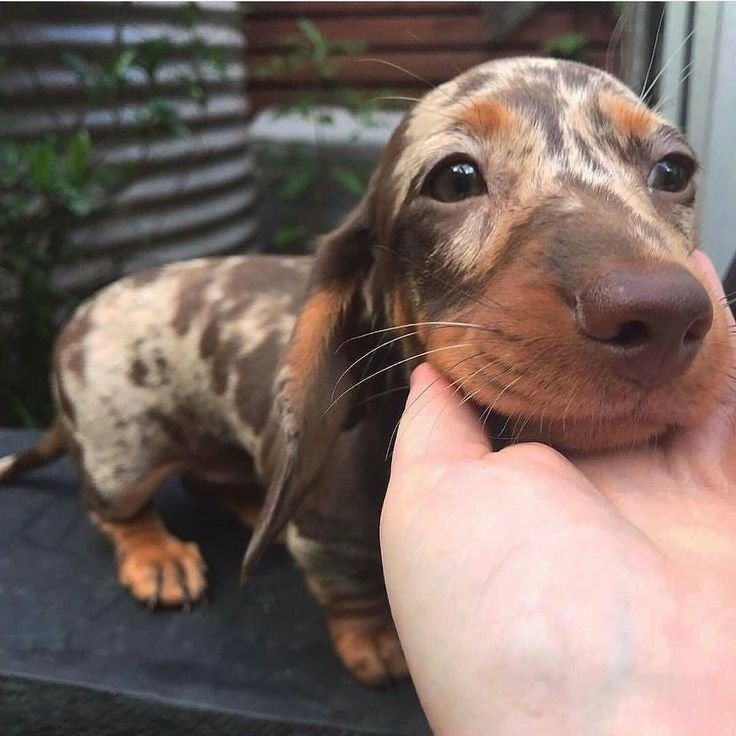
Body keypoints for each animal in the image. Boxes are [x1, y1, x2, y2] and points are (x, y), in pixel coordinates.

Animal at [0, 57, 732, 684]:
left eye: (674, 170)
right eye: (456, 178)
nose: (663, 315)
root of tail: (82, 315)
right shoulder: (327, 534)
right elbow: (347, 581)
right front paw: (376, 637)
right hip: (120, 452)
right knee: (112, 509)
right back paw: (157, 555)